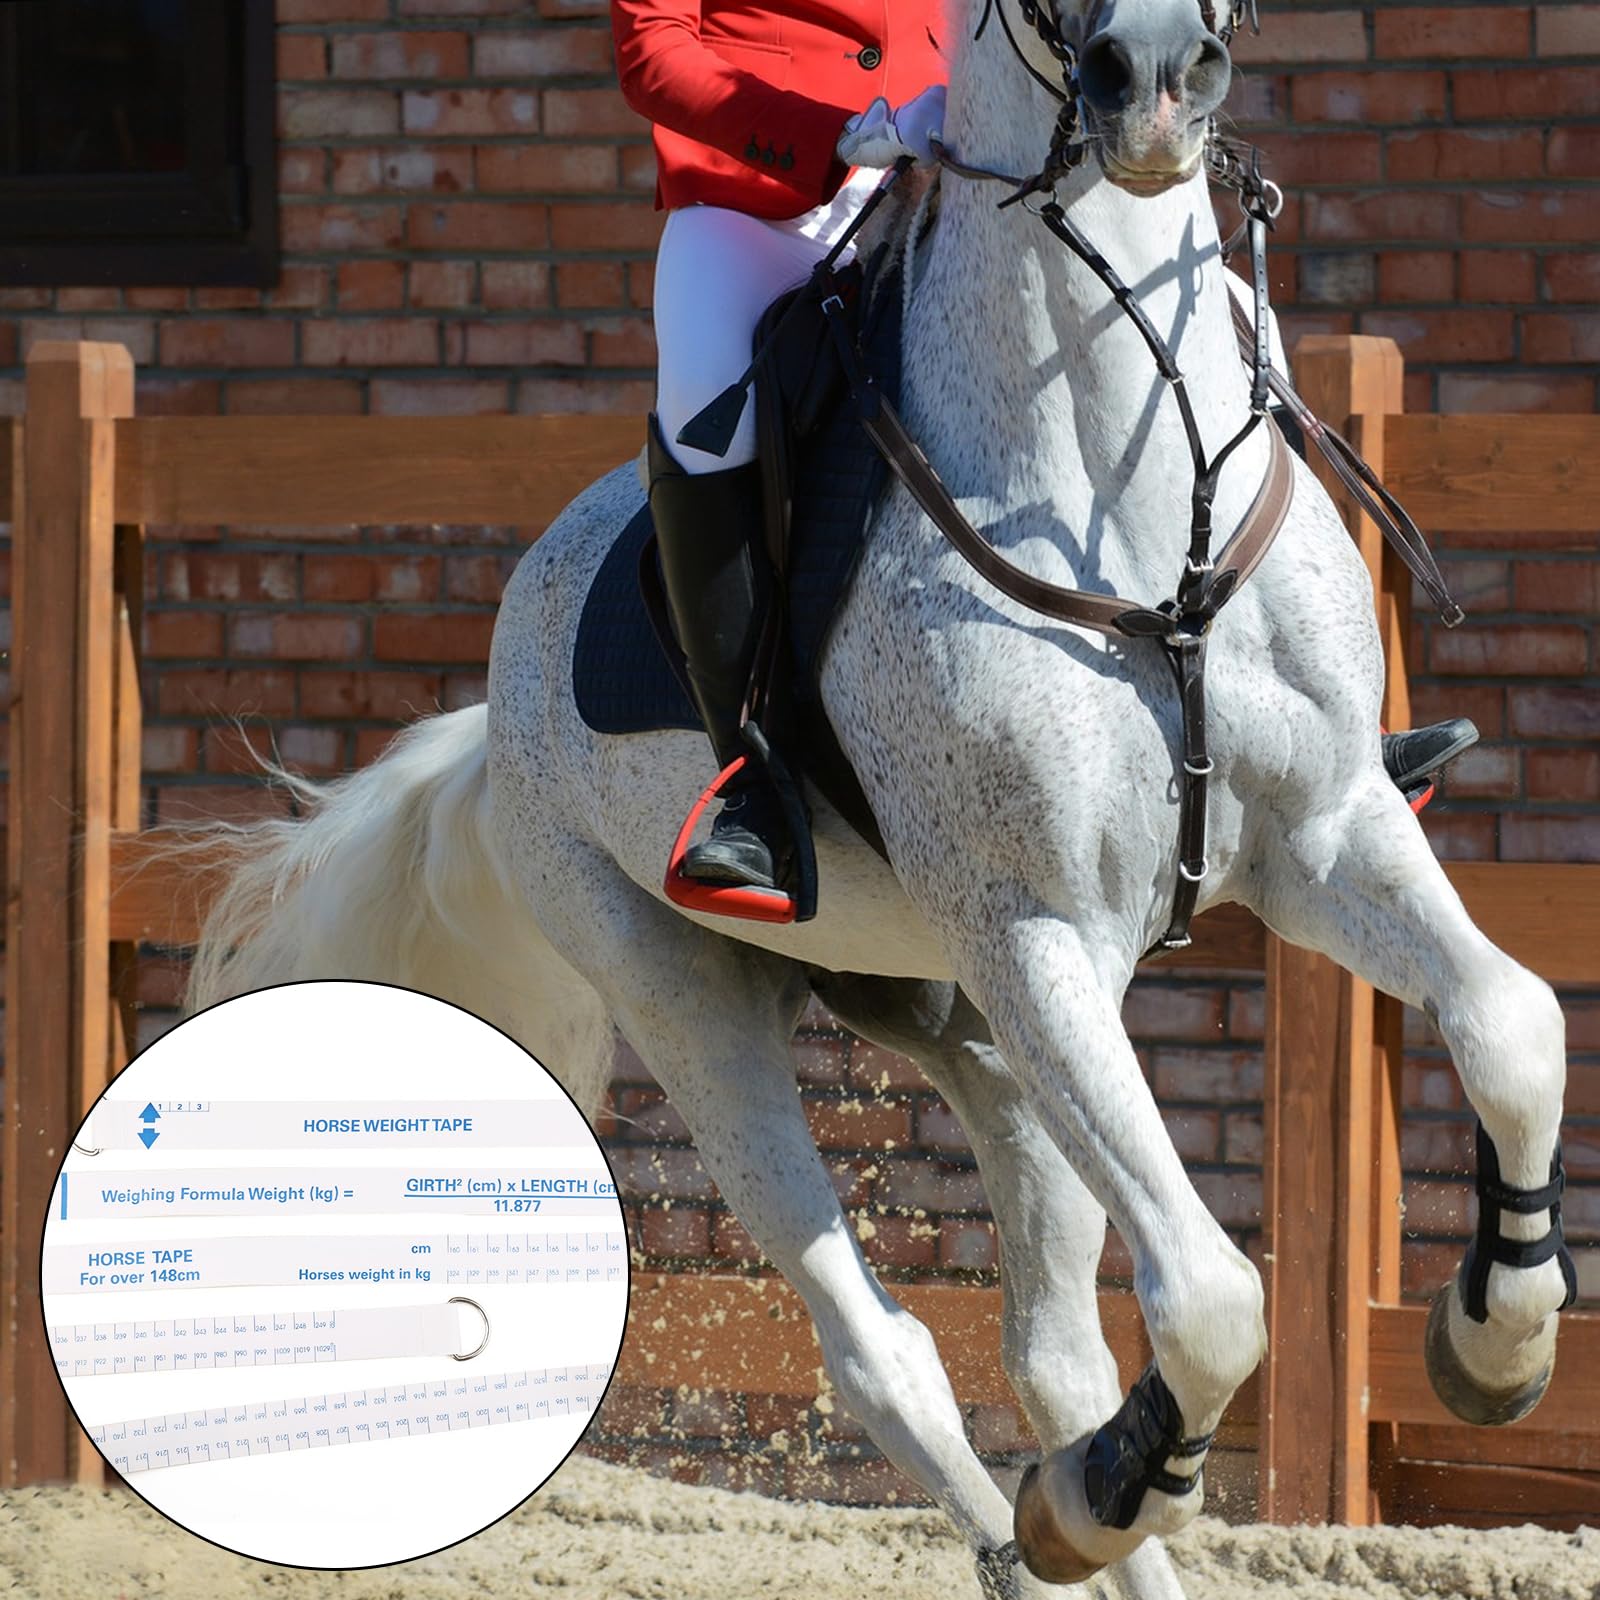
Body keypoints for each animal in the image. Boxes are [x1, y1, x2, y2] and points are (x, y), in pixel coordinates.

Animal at [185, 0, 1577, 1592]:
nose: (1156, 87)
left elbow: (1513, 1026)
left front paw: (1498, 1338)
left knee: (1053, 1347)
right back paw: (1048, 1520)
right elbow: (1214, 1297)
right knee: (884, 1350)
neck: (1117, 483)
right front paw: (1097, 1494)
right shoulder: (1036, 930)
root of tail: (500, 698)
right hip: (694, 994)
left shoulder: (1329, 832)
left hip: (964, 1016)